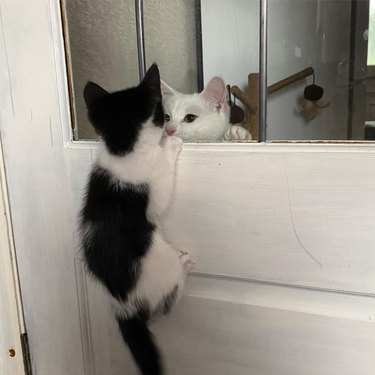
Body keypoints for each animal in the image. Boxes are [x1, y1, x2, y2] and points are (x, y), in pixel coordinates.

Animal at [80, 65, 195, 375]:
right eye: (163, 114)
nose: (170, 129)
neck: (123, 147)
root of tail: (125, 306)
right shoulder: (154, 183)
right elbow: (162, 197)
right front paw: (171, 145)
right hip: (161, 265)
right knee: (168, 303)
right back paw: (184, 265)